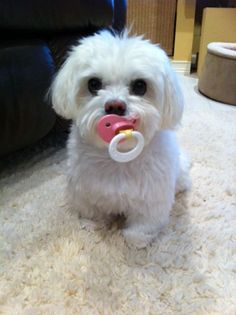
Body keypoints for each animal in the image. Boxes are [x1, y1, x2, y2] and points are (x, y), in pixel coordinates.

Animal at [51, 30, 190, 251]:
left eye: (140, 86)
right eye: (93, 84)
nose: (115, 106)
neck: (119, 159)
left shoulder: (151, 199)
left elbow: (143, 225)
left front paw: (137, 241)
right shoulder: (86, 192)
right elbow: (92, 212)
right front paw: (93, 225)